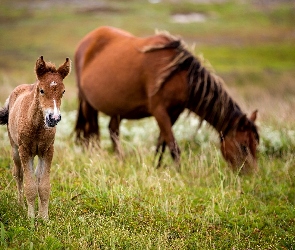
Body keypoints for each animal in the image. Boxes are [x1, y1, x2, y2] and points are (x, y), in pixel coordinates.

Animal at [0, 56, 70, 219]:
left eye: (63, 92)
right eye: (42, 90)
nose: (54, 118)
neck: (37, 127)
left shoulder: (48, 150)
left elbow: (43, 186)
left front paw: (44, 217)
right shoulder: (25, 151)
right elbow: (30, 185)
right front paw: (31, 218)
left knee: (37, 176)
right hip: (15, 148)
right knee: (18, 174)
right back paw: (21, 204)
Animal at [75, 25, 260, 174]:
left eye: (255, 146)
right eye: (243, 146)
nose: (251, 176)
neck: (179, 76)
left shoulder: (174, 113)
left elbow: (161, 144)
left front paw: (156, 167)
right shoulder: (159, 111)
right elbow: (173, 145)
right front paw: (179, 173)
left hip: (117, 109)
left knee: (113, 131)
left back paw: (120, 160)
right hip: (87, 103)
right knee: (91, 132)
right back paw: (94, 156)